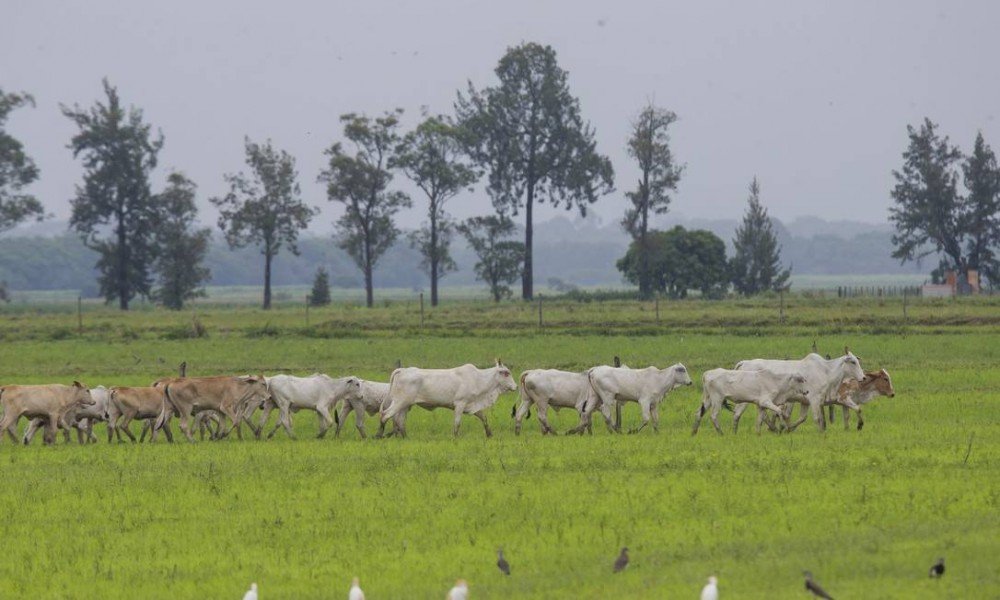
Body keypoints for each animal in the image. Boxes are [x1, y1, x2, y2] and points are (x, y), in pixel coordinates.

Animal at [379, 359, 518, 437]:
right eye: (506, 373)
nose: (516, 386)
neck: (478, 379)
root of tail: (402, 370)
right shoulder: (460, 404)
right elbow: (457, 423)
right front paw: (455, 438)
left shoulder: (471, 406)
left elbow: (484, 418)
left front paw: (489, 434)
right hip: (400, 402)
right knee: (385, 415)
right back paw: (379, 435)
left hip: (406, 405)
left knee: (400, 421)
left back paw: (405, 437)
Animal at [733, 349, 865, 432]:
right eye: (853, 362)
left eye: (858, 361)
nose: (863, 377)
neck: (826, 372)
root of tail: (745, 362)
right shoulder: (814, 399)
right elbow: (817, 418)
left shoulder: (806, 401)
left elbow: (802, 418)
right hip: (745, 398)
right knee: (737, 413)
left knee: (763, 415)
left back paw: (773, 428)